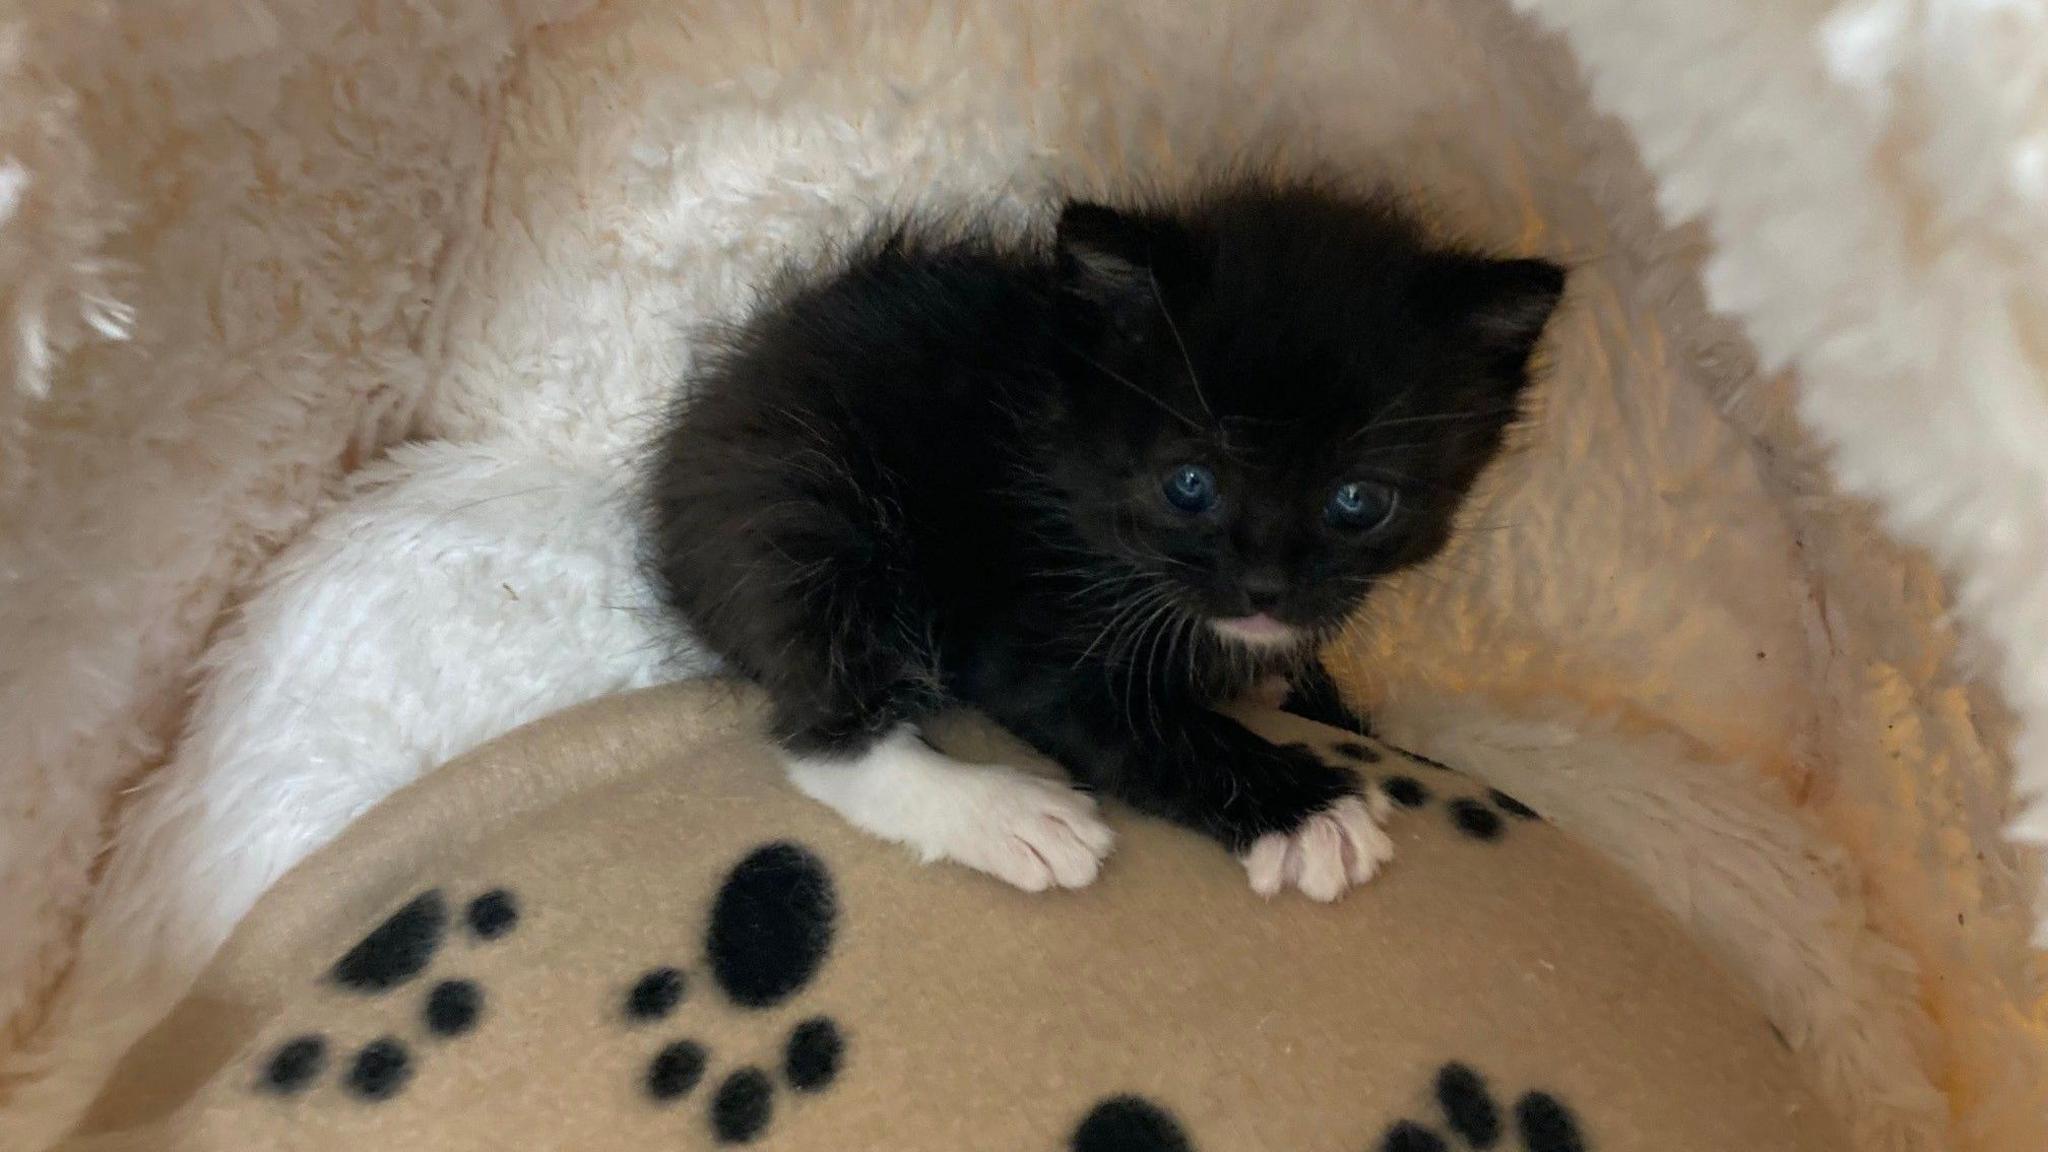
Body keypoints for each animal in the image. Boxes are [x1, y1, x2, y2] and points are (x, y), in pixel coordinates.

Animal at [647, 181, 1556, 897]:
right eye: (1190, 484)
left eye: (1359, 500)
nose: (1263, 588)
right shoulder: (1028, 604)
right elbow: (1124, 716)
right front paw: (1308, 811)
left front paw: (1309, 699)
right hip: (806, 500)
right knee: (820, 733)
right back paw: (1008, 812)